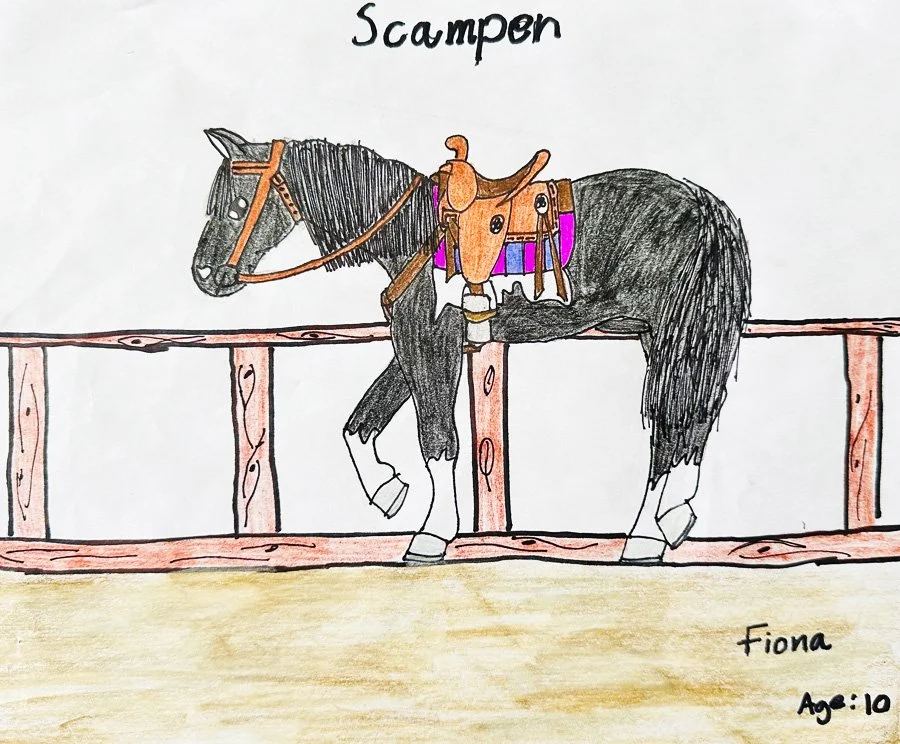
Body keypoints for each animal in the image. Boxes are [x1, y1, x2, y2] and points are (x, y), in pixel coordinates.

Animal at [192, 128, 751, 565]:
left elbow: (437, 438)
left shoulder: (425, 336)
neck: (413, 232)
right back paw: (670, 521)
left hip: (677, 335)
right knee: (689, 423)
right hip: (672, 339)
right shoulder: (422, 338)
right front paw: (389, 492)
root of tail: (705, 205)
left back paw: (645, 536)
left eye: (237, 205)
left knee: (673, 427)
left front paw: (431, 535)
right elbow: (361, 423)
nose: (204, 274)